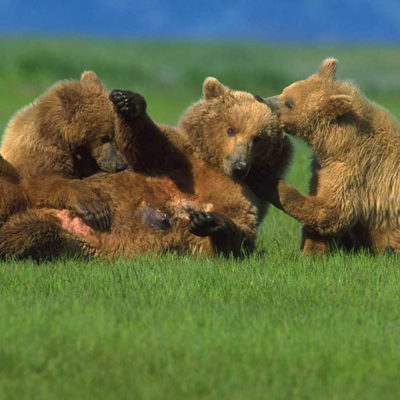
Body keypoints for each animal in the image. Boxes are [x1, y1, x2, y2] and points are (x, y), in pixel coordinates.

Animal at [0, 71, 126, 228]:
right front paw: (95, 209)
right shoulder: (39, 151)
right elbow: (42, 183)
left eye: (117, 136)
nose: (120, 165)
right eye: (104, 137)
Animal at [266, 57, 400, 255]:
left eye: (290, 103)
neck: (335, 143)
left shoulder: (355, 169)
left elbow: (334, 210)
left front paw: (267, 181)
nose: (263, 100)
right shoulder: (322, 166)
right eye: (284, 91)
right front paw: (311, 252)